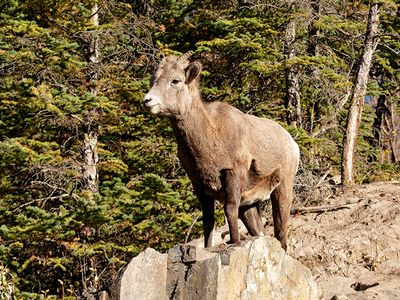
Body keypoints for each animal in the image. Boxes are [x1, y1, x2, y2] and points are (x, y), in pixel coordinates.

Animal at [142, 52, 298, 251]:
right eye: (154, 80)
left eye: (175, 80)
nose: (147, 101)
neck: (211, 137)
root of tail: (292, 143)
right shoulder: (199, 185)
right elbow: (208, 221)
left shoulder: (232, 174)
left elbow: (229, 210)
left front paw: (235, 242)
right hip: (250, 205)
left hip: (282, 188)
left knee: (281, 234)